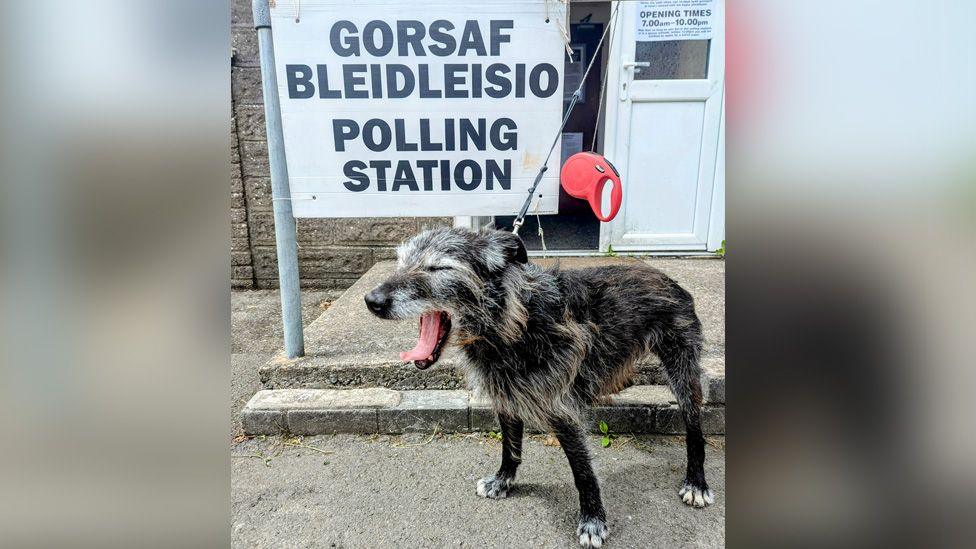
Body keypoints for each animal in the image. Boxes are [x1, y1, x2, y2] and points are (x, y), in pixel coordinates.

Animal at [366, 226, 716, 544]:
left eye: (438, 267)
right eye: (400, 261)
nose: (372, 300)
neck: (511, 324)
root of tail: (665, 276)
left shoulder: (562, 411)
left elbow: (583, 472)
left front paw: (592, 520)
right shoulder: (506, 398)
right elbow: (510, 447)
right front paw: (503, 481)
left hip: (682, 373)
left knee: (695, 429)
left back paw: (697, 482)